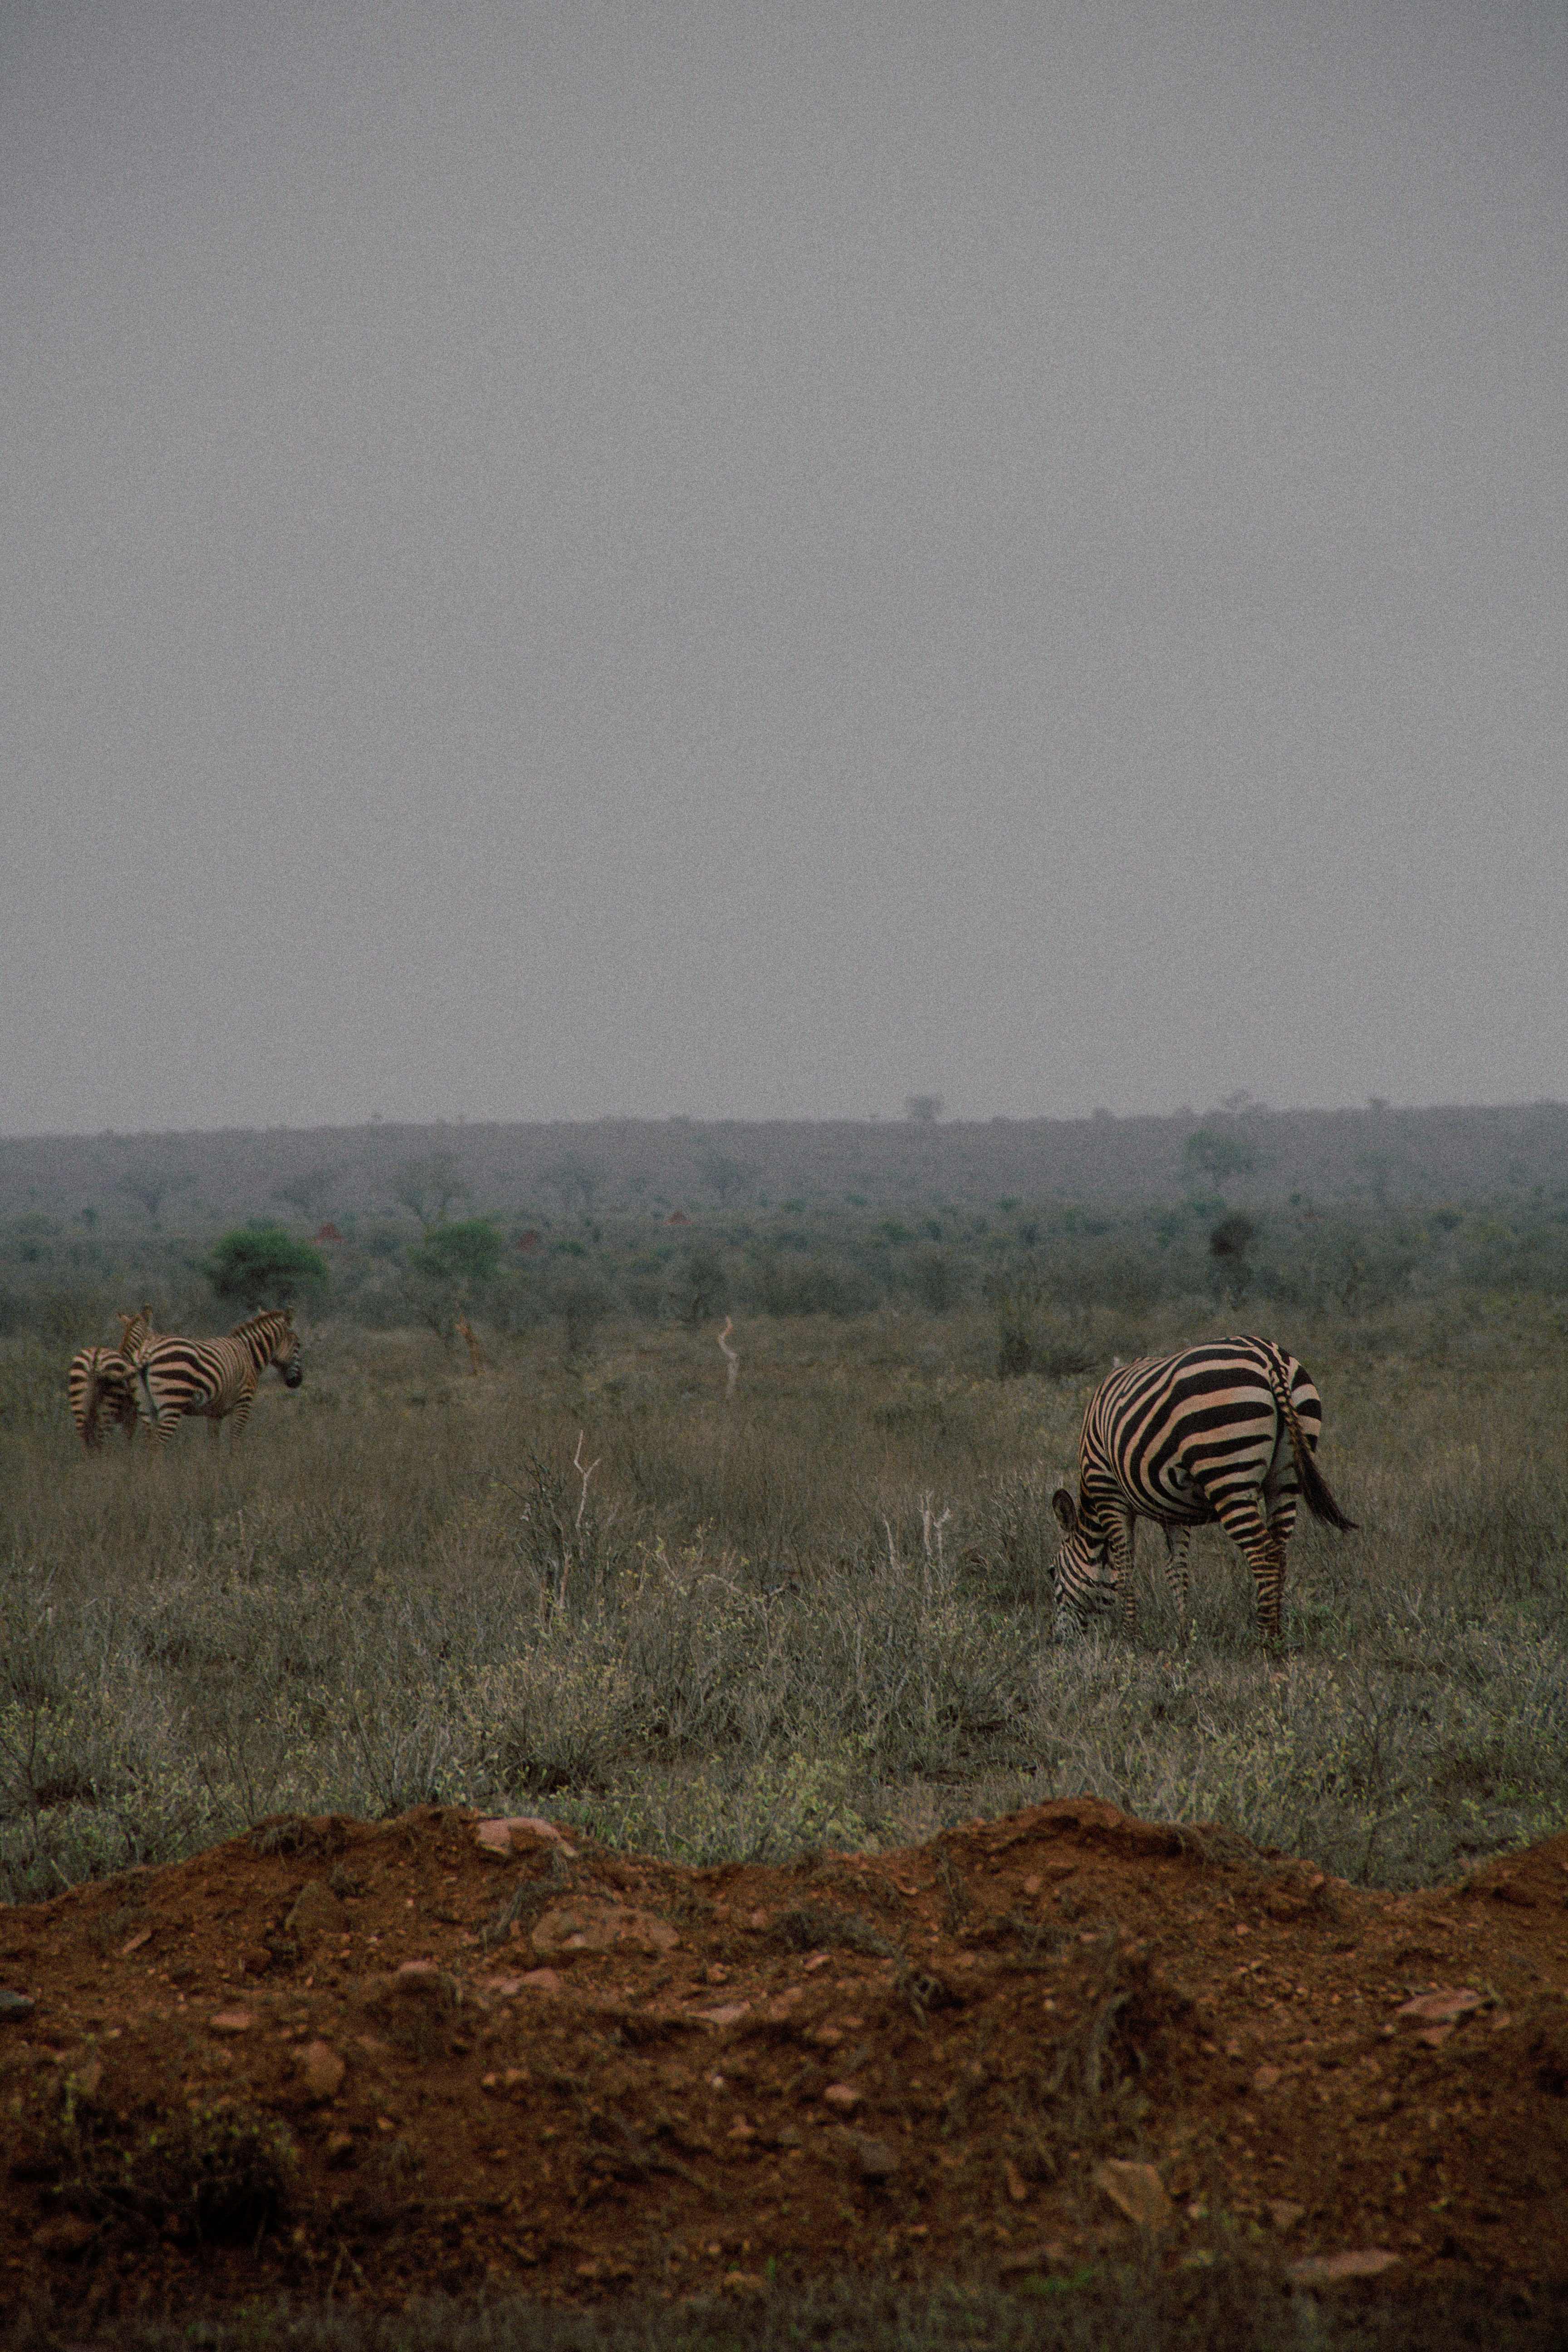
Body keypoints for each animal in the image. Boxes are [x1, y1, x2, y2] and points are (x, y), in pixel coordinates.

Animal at [67, 1308, 157, 1450]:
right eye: (153, 1334)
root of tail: (95, 1359)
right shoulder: (131, 1414)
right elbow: (128, 1439)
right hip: (109, 1407)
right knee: (101, 1440)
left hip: (80, 1403)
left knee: (86, 1442)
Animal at [133, 1308, 303, 1451]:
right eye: (299, 1345)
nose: (298, 1382)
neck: (249, 1355)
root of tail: (148, 1351)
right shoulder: (244, 1402)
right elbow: (235, 1443)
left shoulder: (215, 1413)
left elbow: (213, 1447)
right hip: (173, 1401)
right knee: (157, 1445)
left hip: (146, 1405)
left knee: (148, 1443)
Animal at [1050, 1336, 1355, 1641]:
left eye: (1052, 1573)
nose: (1059, 1640)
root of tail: (1270, 1357)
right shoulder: (1172, 1507)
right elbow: (1177, 1571)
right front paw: (1184, 1634)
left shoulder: (1109, 1493)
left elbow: (1125, 1571)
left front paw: (1129, 1636)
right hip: (1285, 1477)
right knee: (1279, 1551)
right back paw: (1278, 1633)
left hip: (1228, 1474)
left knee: (1264, 1555)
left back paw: (1265, 1640)